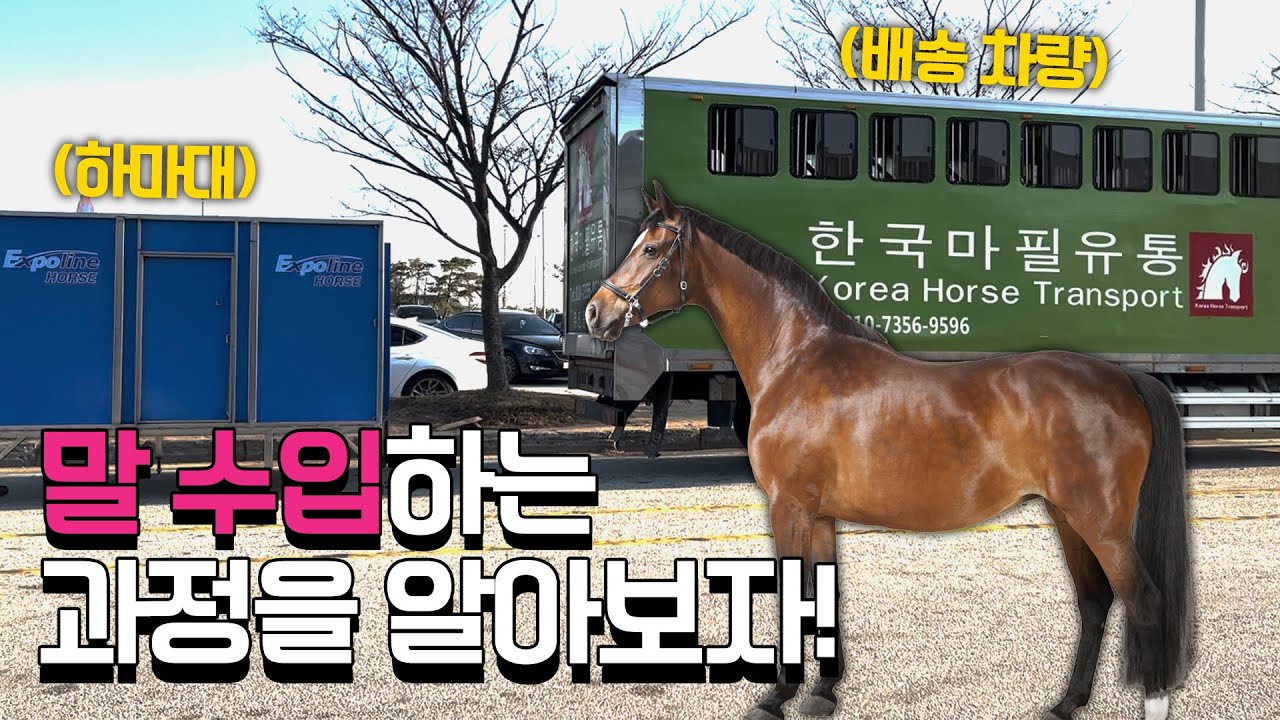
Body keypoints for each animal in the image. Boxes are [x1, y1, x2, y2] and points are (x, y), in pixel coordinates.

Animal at [584, 181, 1194, 720]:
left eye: (652, 248)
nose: (595, 313)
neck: (796, 358)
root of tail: (1123, 377)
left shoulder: (789, 506)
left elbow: (793, 597)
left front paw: (776, 697)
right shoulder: (819, 513)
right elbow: (821, 598)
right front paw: (823, 693)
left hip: (1101, 523)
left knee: (1144, 601)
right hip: (1069, 516)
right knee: (1095, 603)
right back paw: (1066, 704)